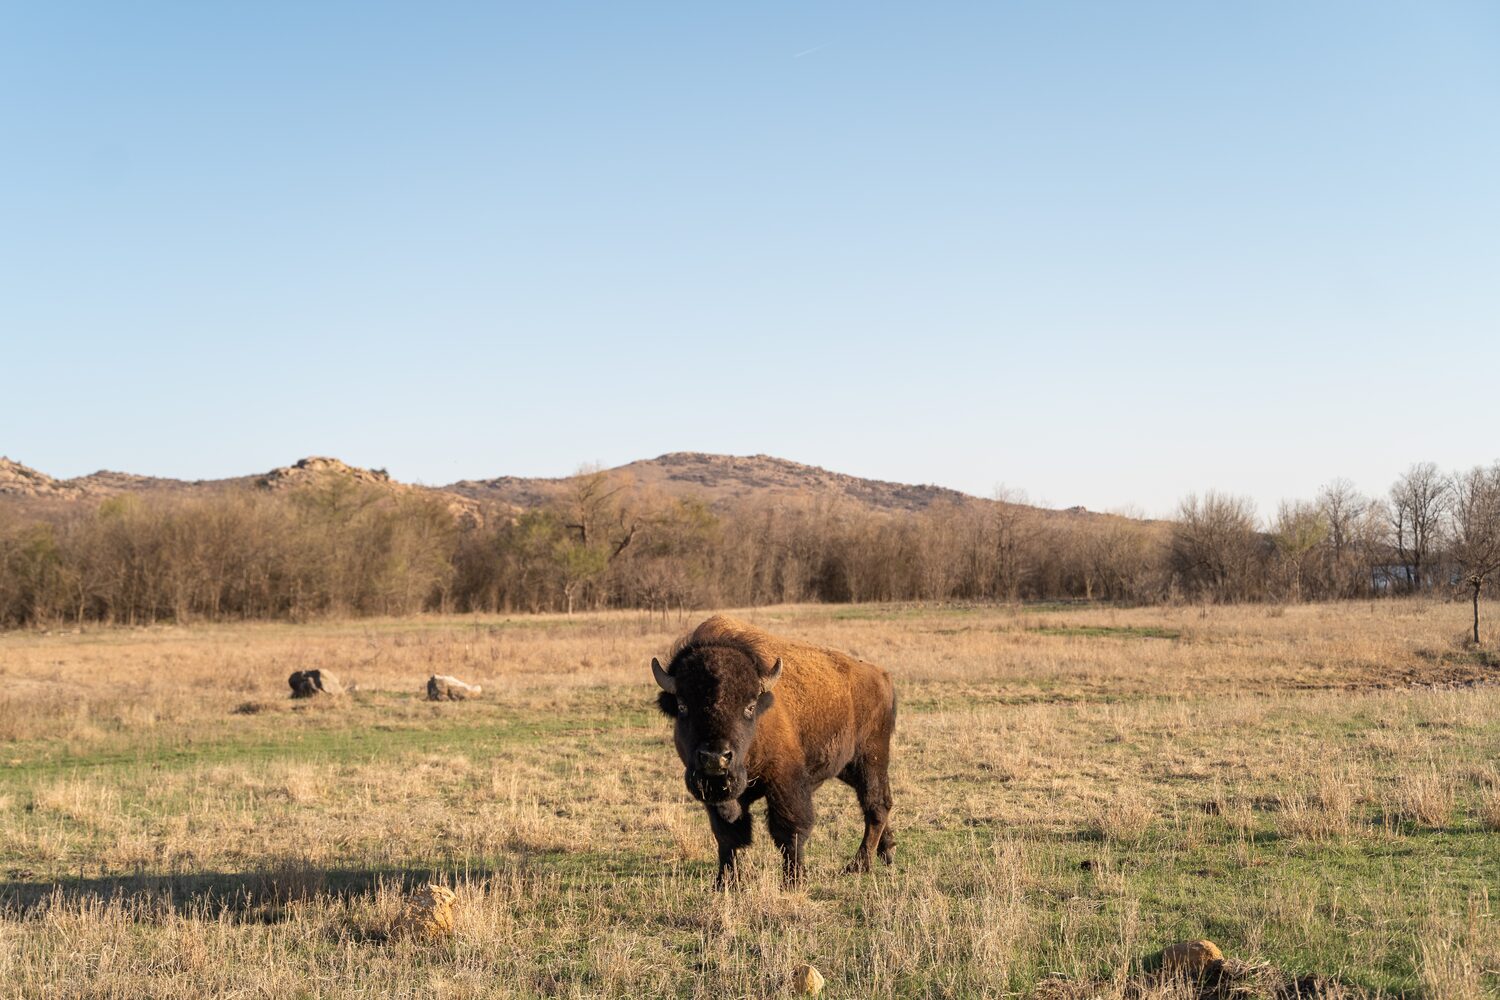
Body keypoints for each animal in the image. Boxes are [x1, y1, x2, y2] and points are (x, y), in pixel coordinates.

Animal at [652, 615, 897, 886]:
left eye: (749, 707)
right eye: (682, 706)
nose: (715, 759)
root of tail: (882, 676)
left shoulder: (784, 781)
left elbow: (789, 830)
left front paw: (793, 880)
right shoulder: (715, 795)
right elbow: (726, 834)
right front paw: (725, 881)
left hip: (870, 758)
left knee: (876, 805)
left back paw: (858, 865)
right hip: (847, 767)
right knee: (878, 803)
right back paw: (887, 851)